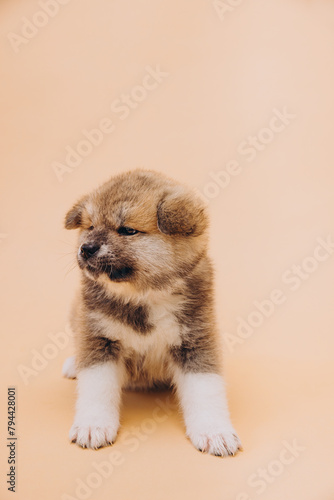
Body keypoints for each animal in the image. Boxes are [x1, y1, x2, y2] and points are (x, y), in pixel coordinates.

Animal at [62, 170, 240, 456]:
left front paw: (215, 432)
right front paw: (93, 426)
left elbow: (206, 391)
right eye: (90, 227)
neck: (142, 296)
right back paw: (73, 363)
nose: (86, 248)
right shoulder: (98, 339)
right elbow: (96, 389)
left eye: (127, 230)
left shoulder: (196, 341)